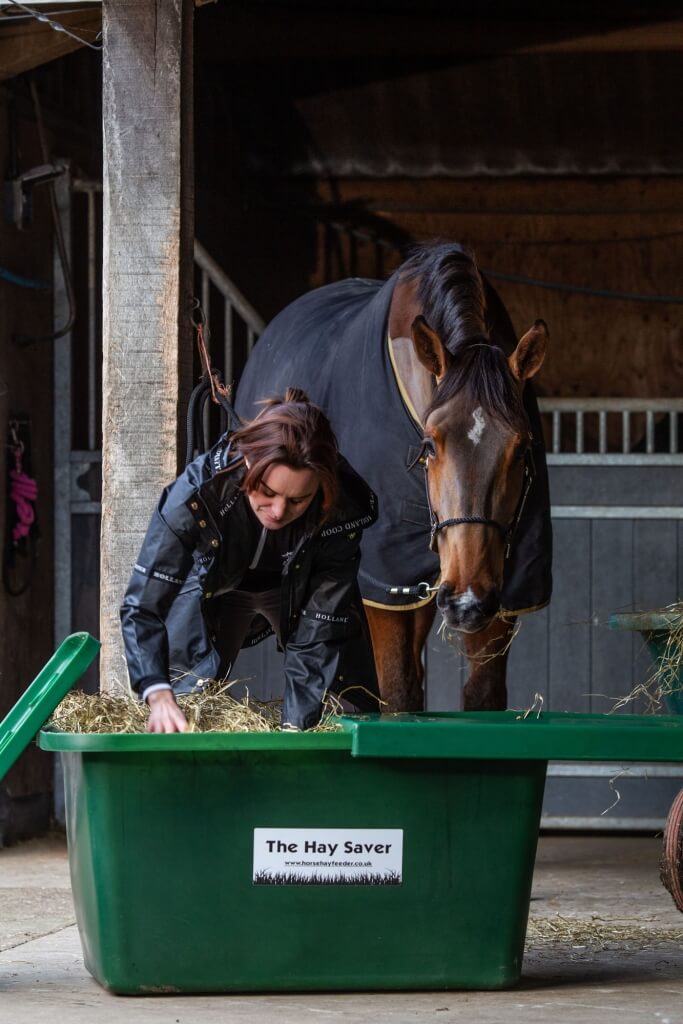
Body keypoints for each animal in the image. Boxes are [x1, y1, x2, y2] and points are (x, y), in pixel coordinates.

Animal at [233, 245, 548, 712]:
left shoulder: (503, 594)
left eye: (523, 447)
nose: (467, 602)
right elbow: (396, 693)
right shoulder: (384, 588)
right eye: (430, 444)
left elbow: (483, 696)